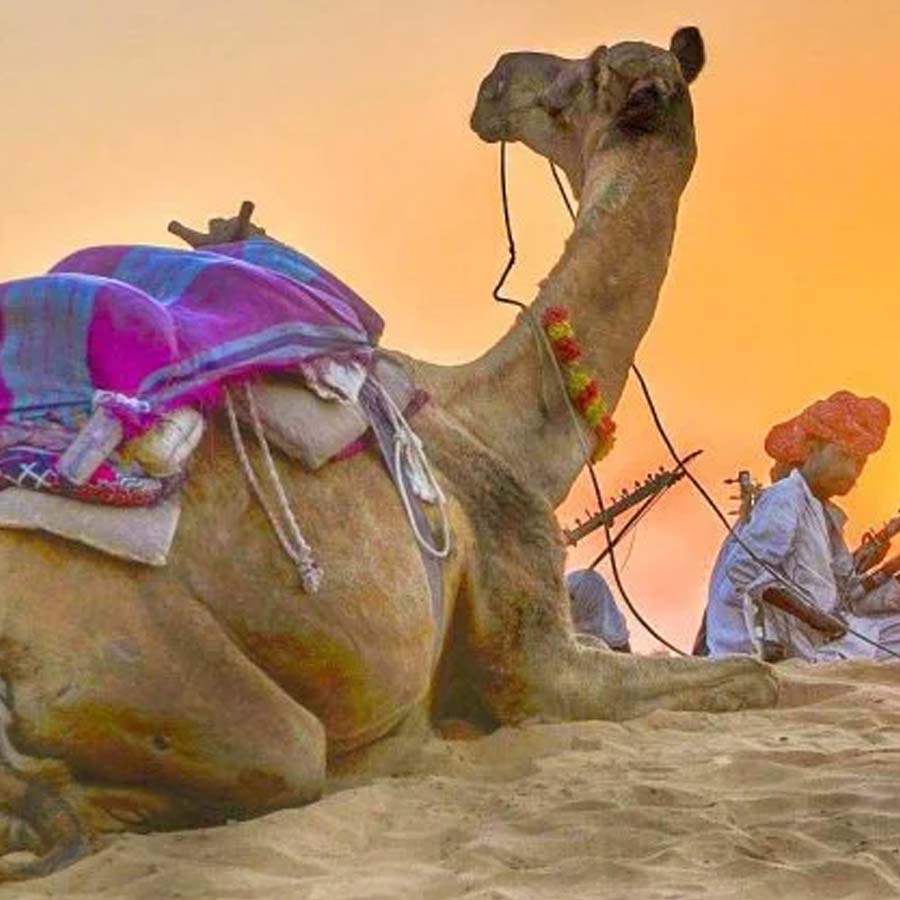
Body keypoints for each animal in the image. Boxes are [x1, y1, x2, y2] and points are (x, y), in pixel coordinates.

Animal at [0, 25, 777, 879]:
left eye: (584, 71)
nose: (497, 79)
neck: (495, 421)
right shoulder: (539, 658)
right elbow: (754, 678)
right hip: (138, 657)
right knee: (267, 759)